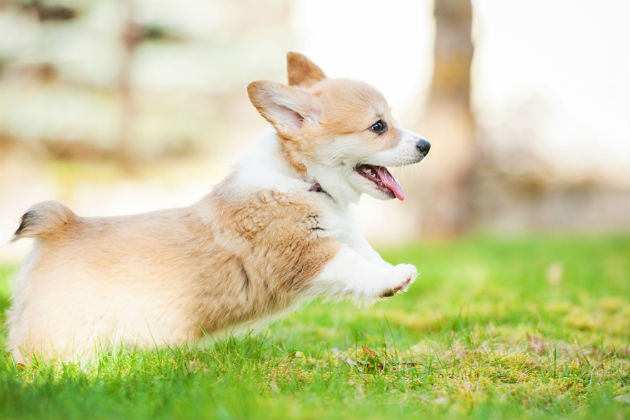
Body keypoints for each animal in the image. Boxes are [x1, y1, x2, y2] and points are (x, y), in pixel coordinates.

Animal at [6, 53, 430, 360]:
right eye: (378, 127)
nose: (426, 145)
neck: (303, 178)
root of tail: (62, 225)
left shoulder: (342, 233)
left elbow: (369, 256)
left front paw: (393, 272)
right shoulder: (303, 253)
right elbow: (354, 264)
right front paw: (395, 279)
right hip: (61, 333)